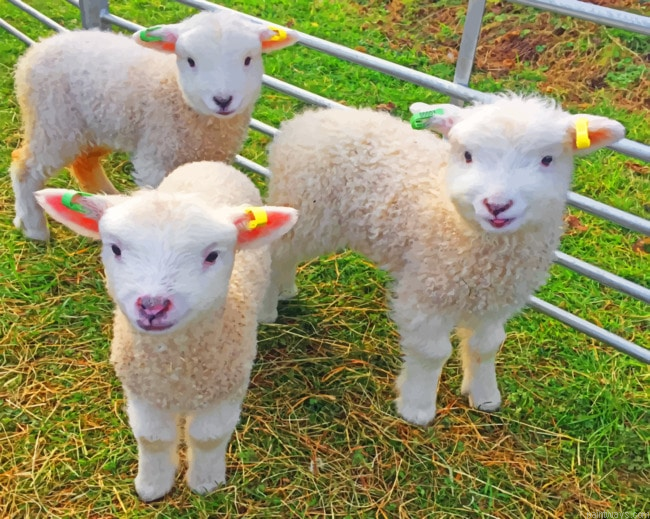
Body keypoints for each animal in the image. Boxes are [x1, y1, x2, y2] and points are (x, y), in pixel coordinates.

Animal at [11, 10, 298, 241]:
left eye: (249, 59)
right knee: (25, 167)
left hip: (94, 126)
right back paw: (34, 227)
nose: (223, 100)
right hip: (53, 122)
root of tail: (38, 48)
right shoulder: (156, 156)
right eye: (190, 61)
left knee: (84, 162)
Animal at [35, 161, 298, 501]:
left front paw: (206, 483)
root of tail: (210, 164)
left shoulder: (226, 387)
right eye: (115, 248)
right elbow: (152, 438)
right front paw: (152, 486)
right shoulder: (143, 390)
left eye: (212, 255)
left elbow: (209, 437)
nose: (153, 306)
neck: (175, 367)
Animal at [259, 94, 625, 426]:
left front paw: (485, 397)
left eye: (547, 159)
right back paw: (267, 309)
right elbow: (431, 351)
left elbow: (487, 345)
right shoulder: (426, 290)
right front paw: (417, 409)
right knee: (274, 254)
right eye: (468, 155)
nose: (497, 205)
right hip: (304, 208)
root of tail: (306, 119)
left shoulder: (497, 300)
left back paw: (286, 290)